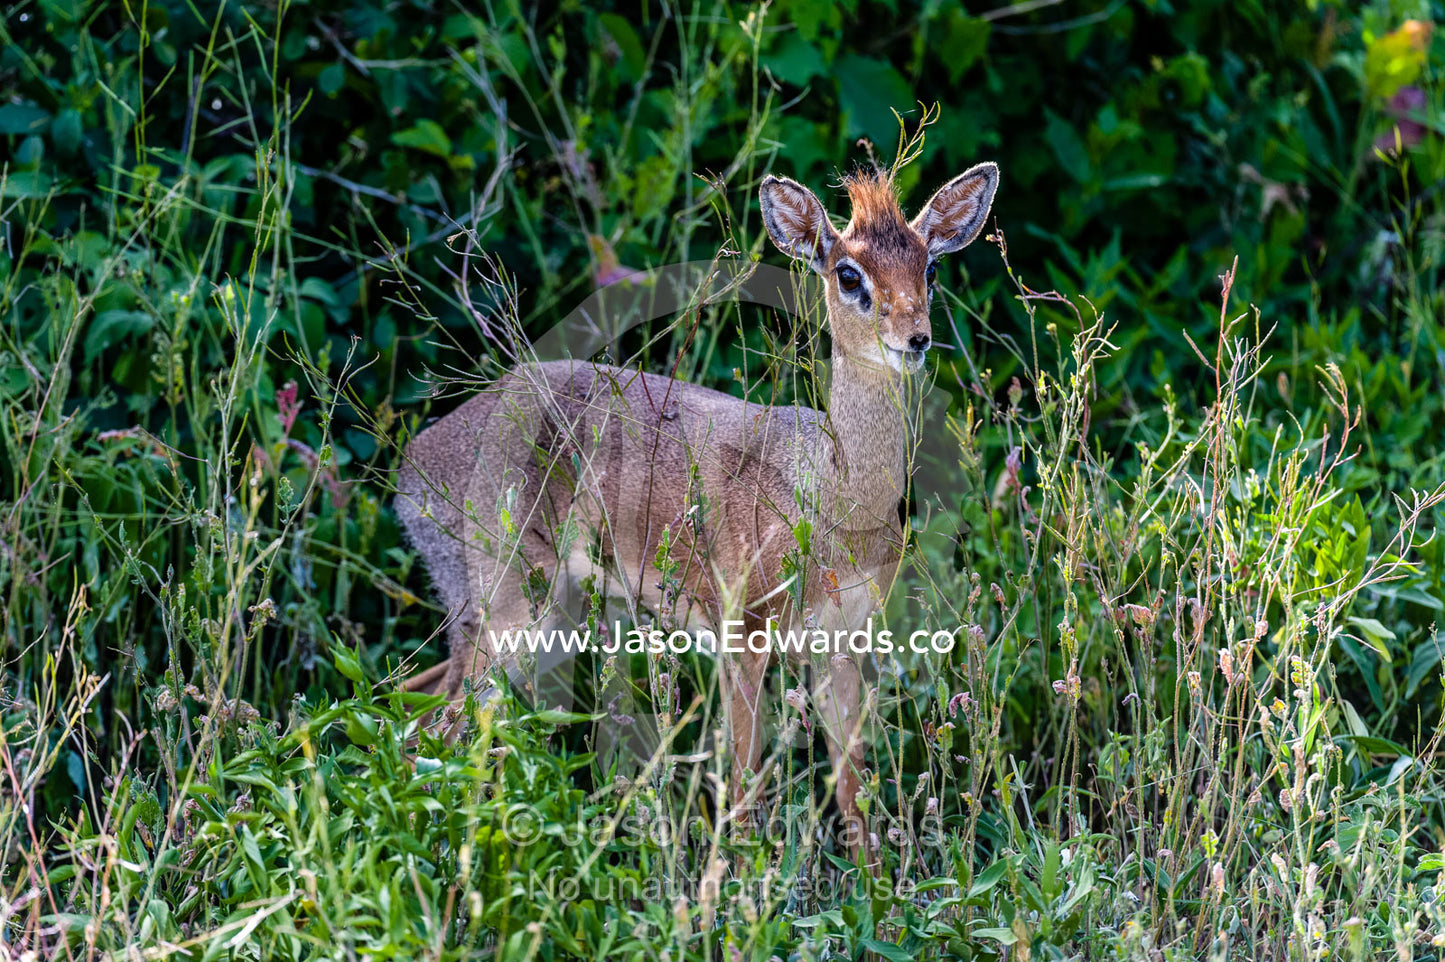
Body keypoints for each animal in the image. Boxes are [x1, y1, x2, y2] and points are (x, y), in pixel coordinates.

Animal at [395, 162, 999, 862]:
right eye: (848, 274)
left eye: (929, 266)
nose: (916, 337)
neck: (834, 497)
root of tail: (411, 469)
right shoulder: (743, 633)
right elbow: (741, 789)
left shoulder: (842, 641)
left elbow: (854, 796)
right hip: (510, 605)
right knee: (429, 728)